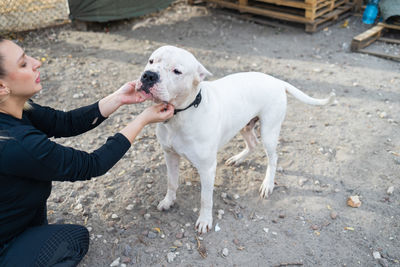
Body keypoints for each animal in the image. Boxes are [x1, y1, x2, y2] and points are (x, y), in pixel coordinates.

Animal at [138, 46, 334, 234]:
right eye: (151, 61)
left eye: (177, 71)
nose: (149, 75)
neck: (182, 113)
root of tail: (277, 81)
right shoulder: (170, 155)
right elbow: (171, 182)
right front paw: (168, 201)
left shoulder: (207, 169)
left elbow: (205, 198)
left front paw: (205, 220)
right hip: (245, 126)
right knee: (253, 143)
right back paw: (237, 159)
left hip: (269, 132)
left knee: (273, 158)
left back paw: (267, 184)